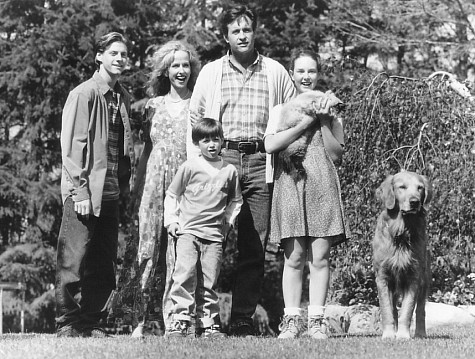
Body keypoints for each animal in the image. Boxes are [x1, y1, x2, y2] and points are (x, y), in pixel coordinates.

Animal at [374, 172, 434, 340]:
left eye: (420, 188)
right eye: (402, 187)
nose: (414, 202)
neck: (402, 233)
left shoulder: (414, 277)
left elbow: (407, 310)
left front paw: (403, 335)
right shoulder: (383, 277)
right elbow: (387, 310)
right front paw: (389, 334)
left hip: (425, 281)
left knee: (420, 310)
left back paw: (420, 333)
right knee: (394, 309)